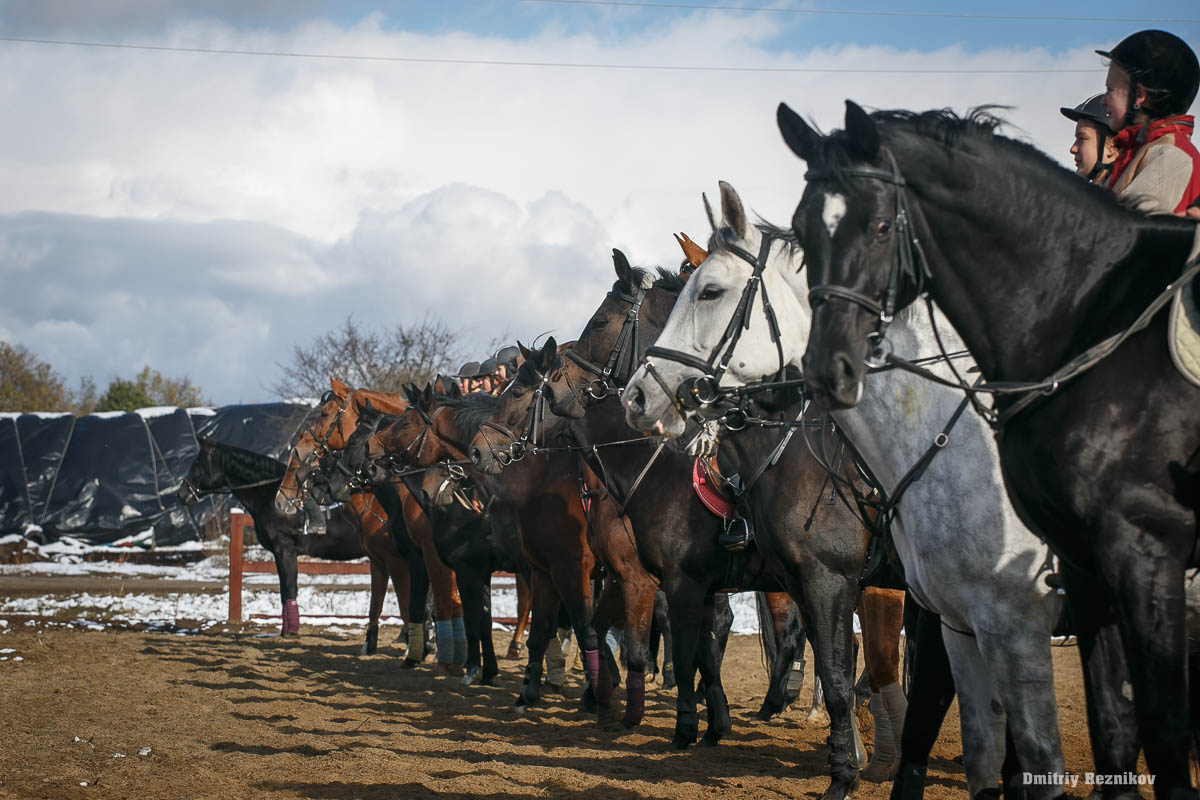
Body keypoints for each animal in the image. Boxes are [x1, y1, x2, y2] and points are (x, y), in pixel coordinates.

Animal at [178, 437, 373, 639]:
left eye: (197, 463)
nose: (181, 493)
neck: (273, 497)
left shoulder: (285, 550)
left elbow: (290, 589)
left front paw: (291, 631)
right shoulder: (279, 554)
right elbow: (283, 593)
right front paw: (284, 630)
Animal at [275, 379, 467, 672]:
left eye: (324, 414)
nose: (280, 500)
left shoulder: (411, 558)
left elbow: (415, 604)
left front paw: (420, 650)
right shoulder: (383, 560)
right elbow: (381, 602)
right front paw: (377, 643)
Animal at [622, 180, 1068, 799]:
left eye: (709, 291)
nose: (635, 396)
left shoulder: (837, 580)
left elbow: (843, 670)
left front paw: (845, 772)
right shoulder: (811, 582)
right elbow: (837, 664)